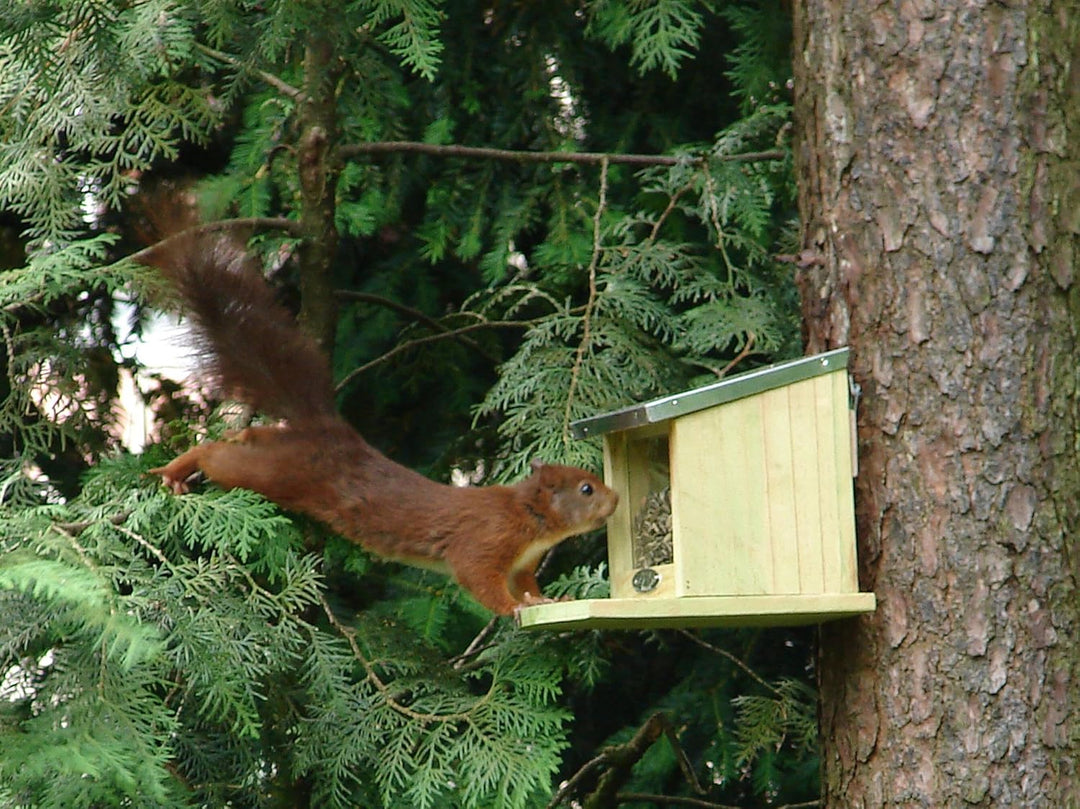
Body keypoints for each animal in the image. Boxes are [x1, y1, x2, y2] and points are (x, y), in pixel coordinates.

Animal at [143, 235, 618, 616]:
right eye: (586, 488)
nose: (615, 499)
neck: (529, 517)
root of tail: (329, 430)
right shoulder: (486, 542)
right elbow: (478, 578)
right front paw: (512, 610)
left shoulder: (521, 564)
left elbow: (526, 585)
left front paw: (545, 600)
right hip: (277, 471)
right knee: (217, 457)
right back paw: (177, 469)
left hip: (275, 448)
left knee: (246, 437)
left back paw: (225, 440)